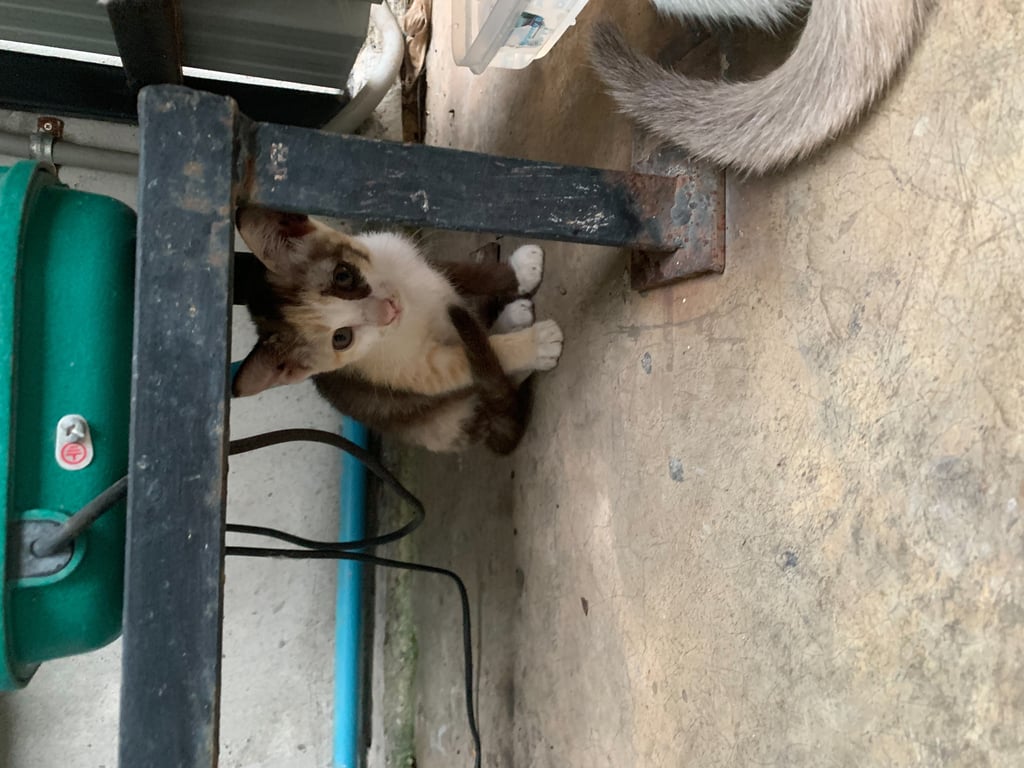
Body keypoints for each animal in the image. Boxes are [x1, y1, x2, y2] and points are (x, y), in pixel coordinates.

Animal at [232, 207, 563, 454]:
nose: (388, 310)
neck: (412, 302)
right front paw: (536, 345)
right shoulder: (419, 372)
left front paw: (520, 270)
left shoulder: (414, 261)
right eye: (341, 338)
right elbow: (475, 361)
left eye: (343, 276)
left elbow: (467, 274)